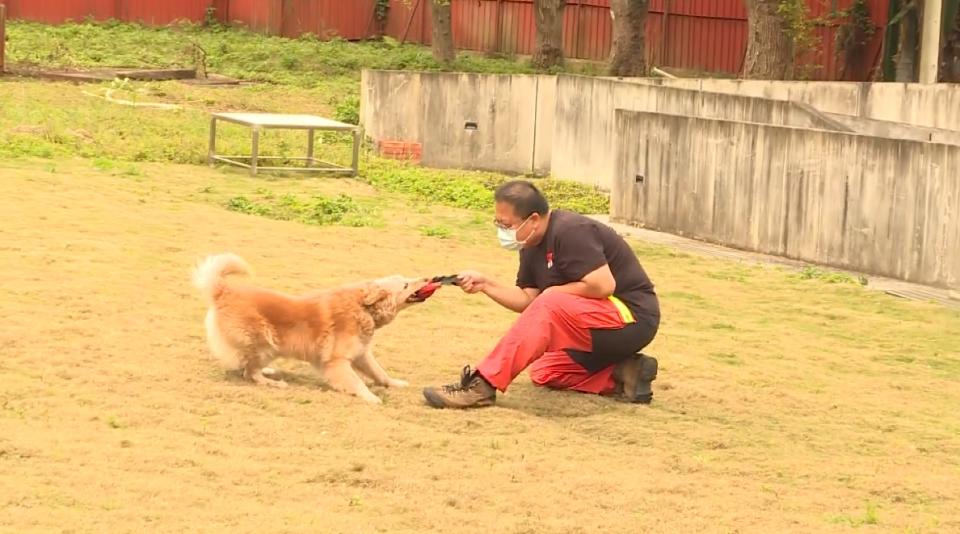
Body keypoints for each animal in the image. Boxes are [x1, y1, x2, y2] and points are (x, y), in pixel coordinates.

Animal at [193, 253, 434, 404]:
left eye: (406, 278)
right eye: (405, 284)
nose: (430, 277)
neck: (363, 308)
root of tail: (224, 291)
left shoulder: (361, 354)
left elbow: (379, 373)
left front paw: (395, 383)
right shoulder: (337, 361)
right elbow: (357, 383)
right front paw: (371, 398)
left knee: (245, 366)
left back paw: (268, 371)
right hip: (264, 343)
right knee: (249, 372)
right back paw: (272, 382)